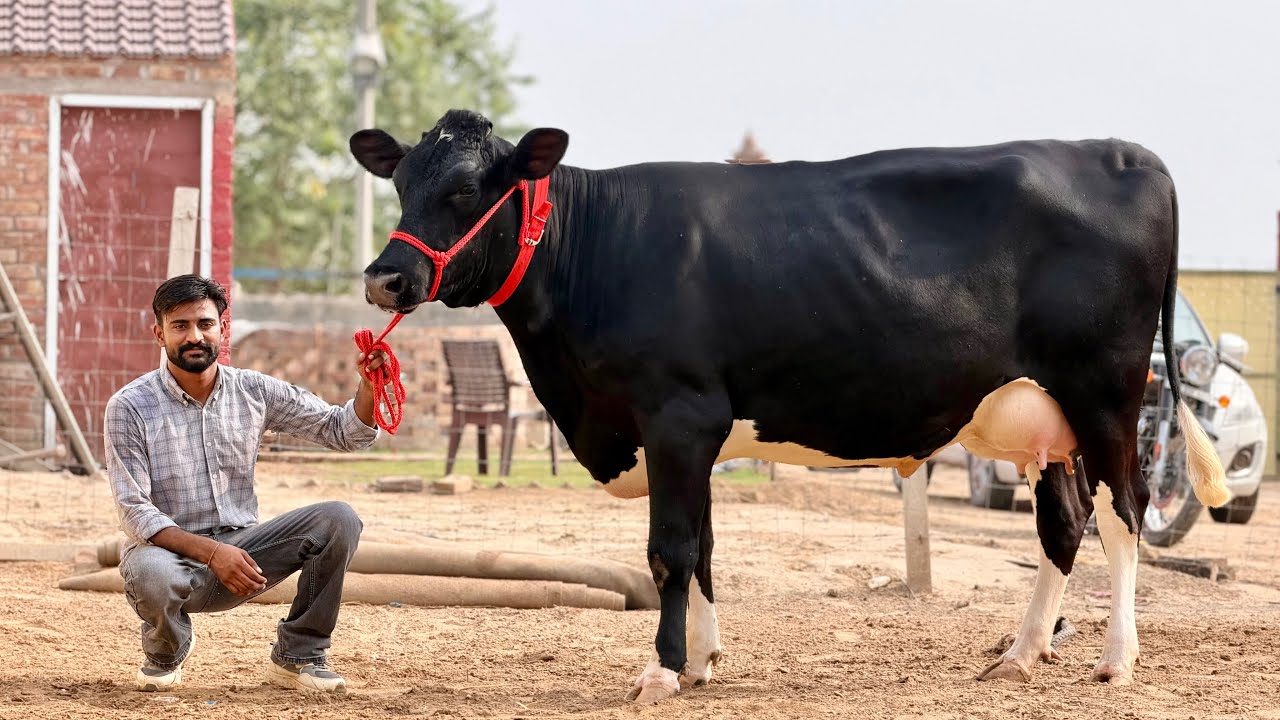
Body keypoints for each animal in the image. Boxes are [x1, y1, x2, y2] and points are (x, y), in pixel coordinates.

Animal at [349, 109, 1229, 703]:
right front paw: (700, 662)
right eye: (399, 183)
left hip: (1106, 392)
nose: (386, 277)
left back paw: (1115, 658)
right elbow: (703, 549)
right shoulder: (692, 432)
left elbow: (668, 551)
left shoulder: (677, 415)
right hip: (1042, 419)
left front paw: (660, 672)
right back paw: (1019, 653)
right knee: (1065, 521)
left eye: (468, 189)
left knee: (1124, 510)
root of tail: (1120, 150)